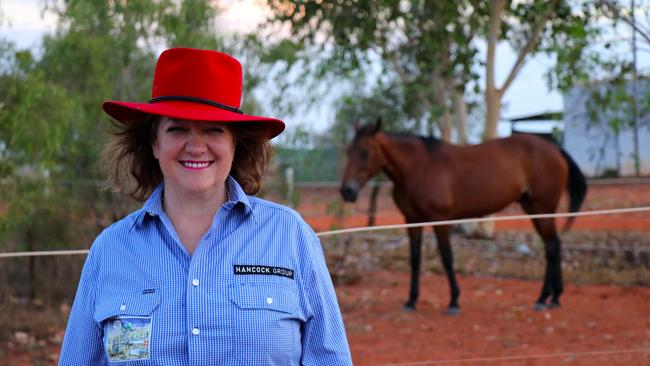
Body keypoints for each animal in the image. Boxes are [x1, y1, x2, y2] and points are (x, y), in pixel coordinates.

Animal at [340, 118, 588, 314]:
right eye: (348, 151)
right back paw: (553, 297)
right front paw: (411, 301)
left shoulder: (440, 220)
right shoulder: (412, 220)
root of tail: (554, 148)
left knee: (552, 246)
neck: (419, 168)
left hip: (542, 207)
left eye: (365, 152)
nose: (347, 191)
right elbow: (415, 259)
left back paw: (544, 298)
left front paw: (454, 301)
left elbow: (447, 257)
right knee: (553, 245)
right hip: (533, 207)